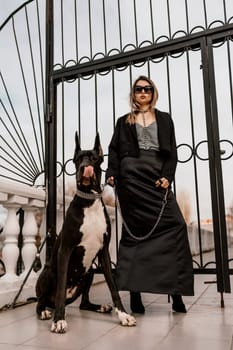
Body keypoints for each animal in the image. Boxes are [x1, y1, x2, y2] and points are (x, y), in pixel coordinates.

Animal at [35, 133, 136, 332]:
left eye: (94, 158)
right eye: (77, 160)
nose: (85, 168)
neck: (89, 200)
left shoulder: (104, 253)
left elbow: (113, 286)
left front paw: (123, 315)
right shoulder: (65, 250)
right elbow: (60, 289)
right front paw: (59, 320)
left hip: (89, 271)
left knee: (83, 304)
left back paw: (99, 307)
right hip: (49, 272)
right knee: (41, 300)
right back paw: (44, 311)